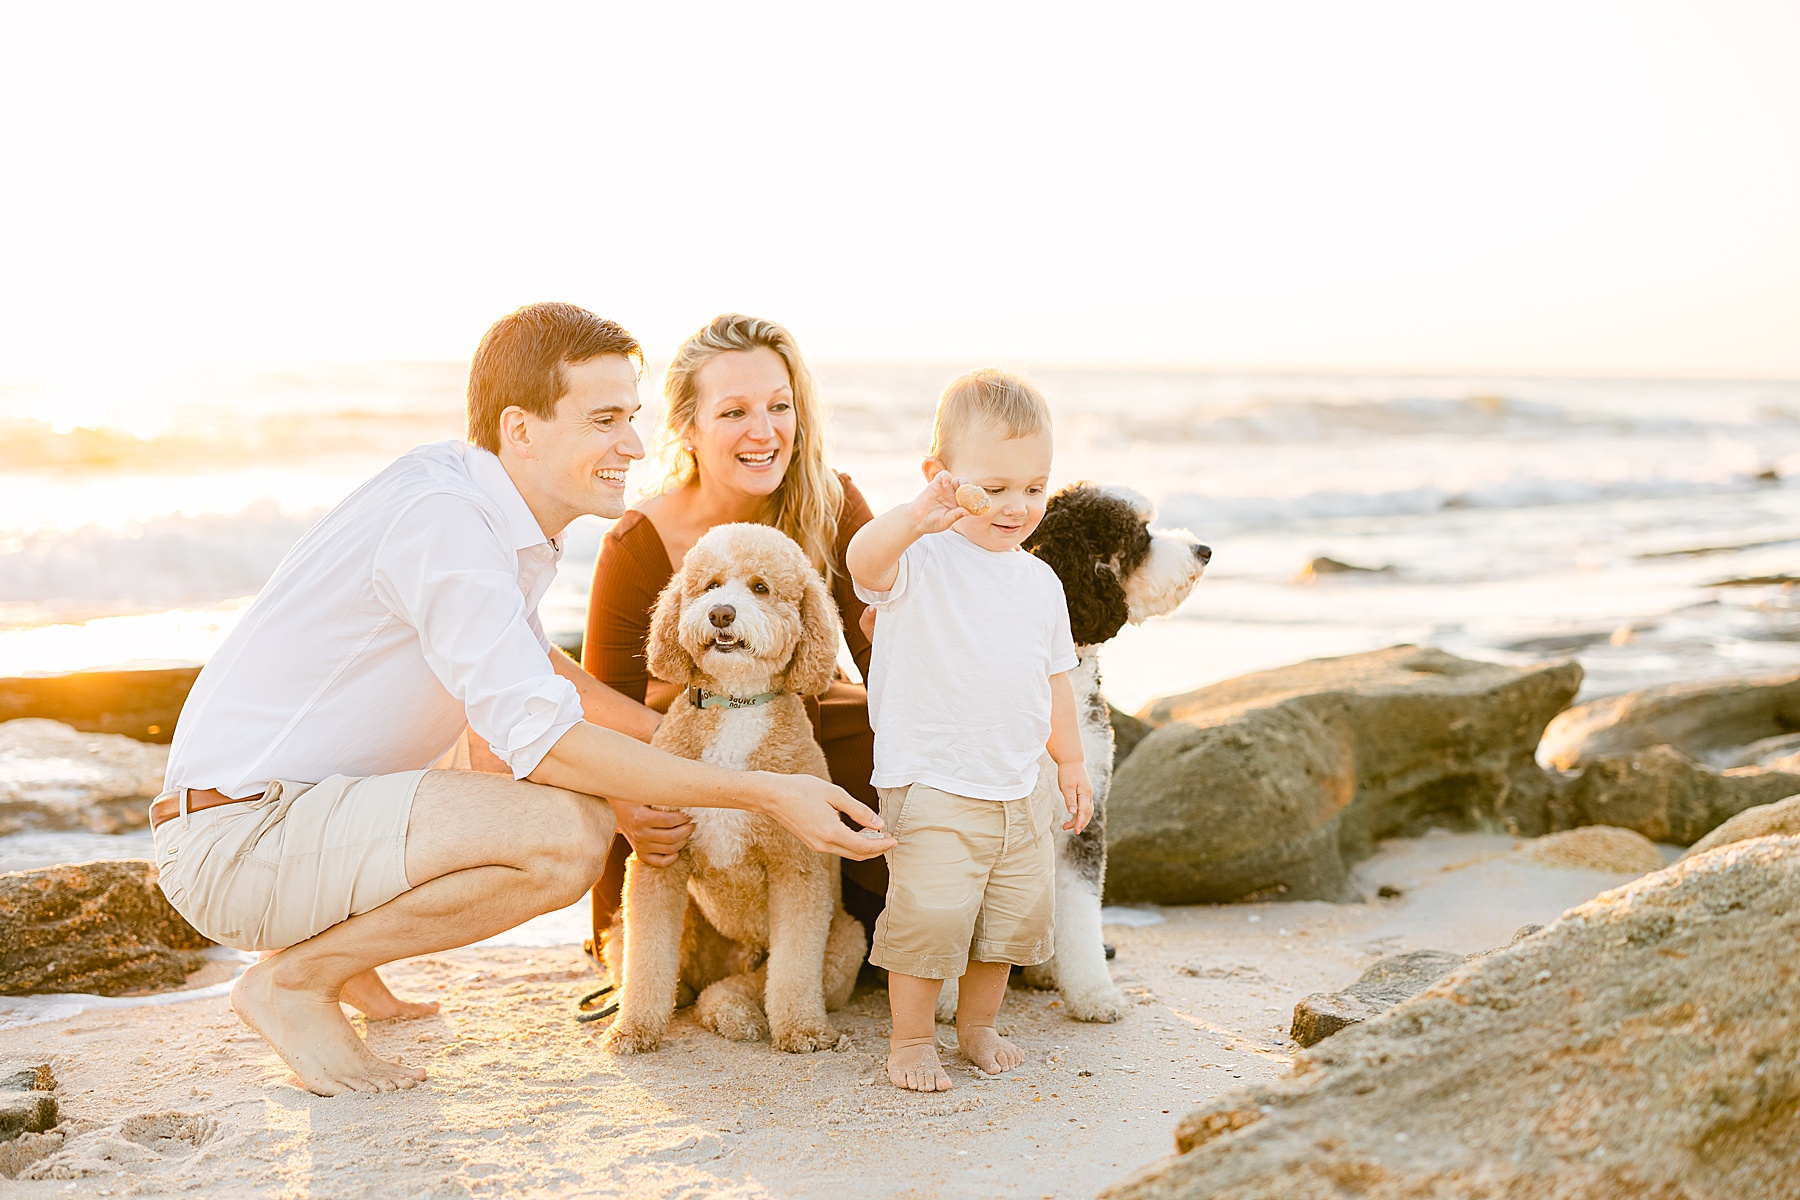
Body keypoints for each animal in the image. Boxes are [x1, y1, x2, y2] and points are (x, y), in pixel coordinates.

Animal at [597, 521, 864, 1050]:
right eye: (710, 585)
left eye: (760, 587)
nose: (721, 613)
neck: (737, 705)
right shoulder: (659, 865)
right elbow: (647, 959)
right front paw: (634, 1028)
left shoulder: (798, 869)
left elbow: (795, 968)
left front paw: (802, 1029)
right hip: (654, 925)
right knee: (680, 978)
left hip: (846, 940)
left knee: (746, 983)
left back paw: (734, 1012)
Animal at [928, 482, 1209, 1021]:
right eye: (1140, 536)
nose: (1204, 550)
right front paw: (945, 998)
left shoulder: (1085, 817)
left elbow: (1080, 912)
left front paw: (1093, 992)